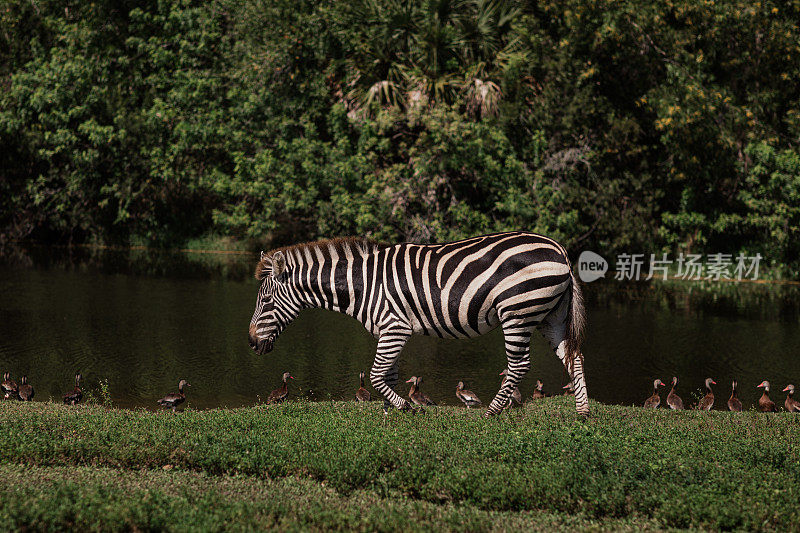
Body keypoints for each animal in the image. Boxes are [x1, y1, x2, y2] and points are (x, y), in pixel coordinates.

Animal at [248, 232, 588, 416]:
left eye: (266, 301)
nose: (251, 343)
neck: (363, 285)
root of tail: (560, 250)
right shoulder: (392, 331)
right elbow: (389, 375)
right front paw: (389, 414)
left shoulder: (395, 326)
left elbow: (377, 375)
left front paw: (405, 408)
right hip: (550, 315)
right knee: (574, 357)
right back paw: (583, 414)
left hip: (517, 312)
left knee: (519, 365)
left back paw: (492, 413)